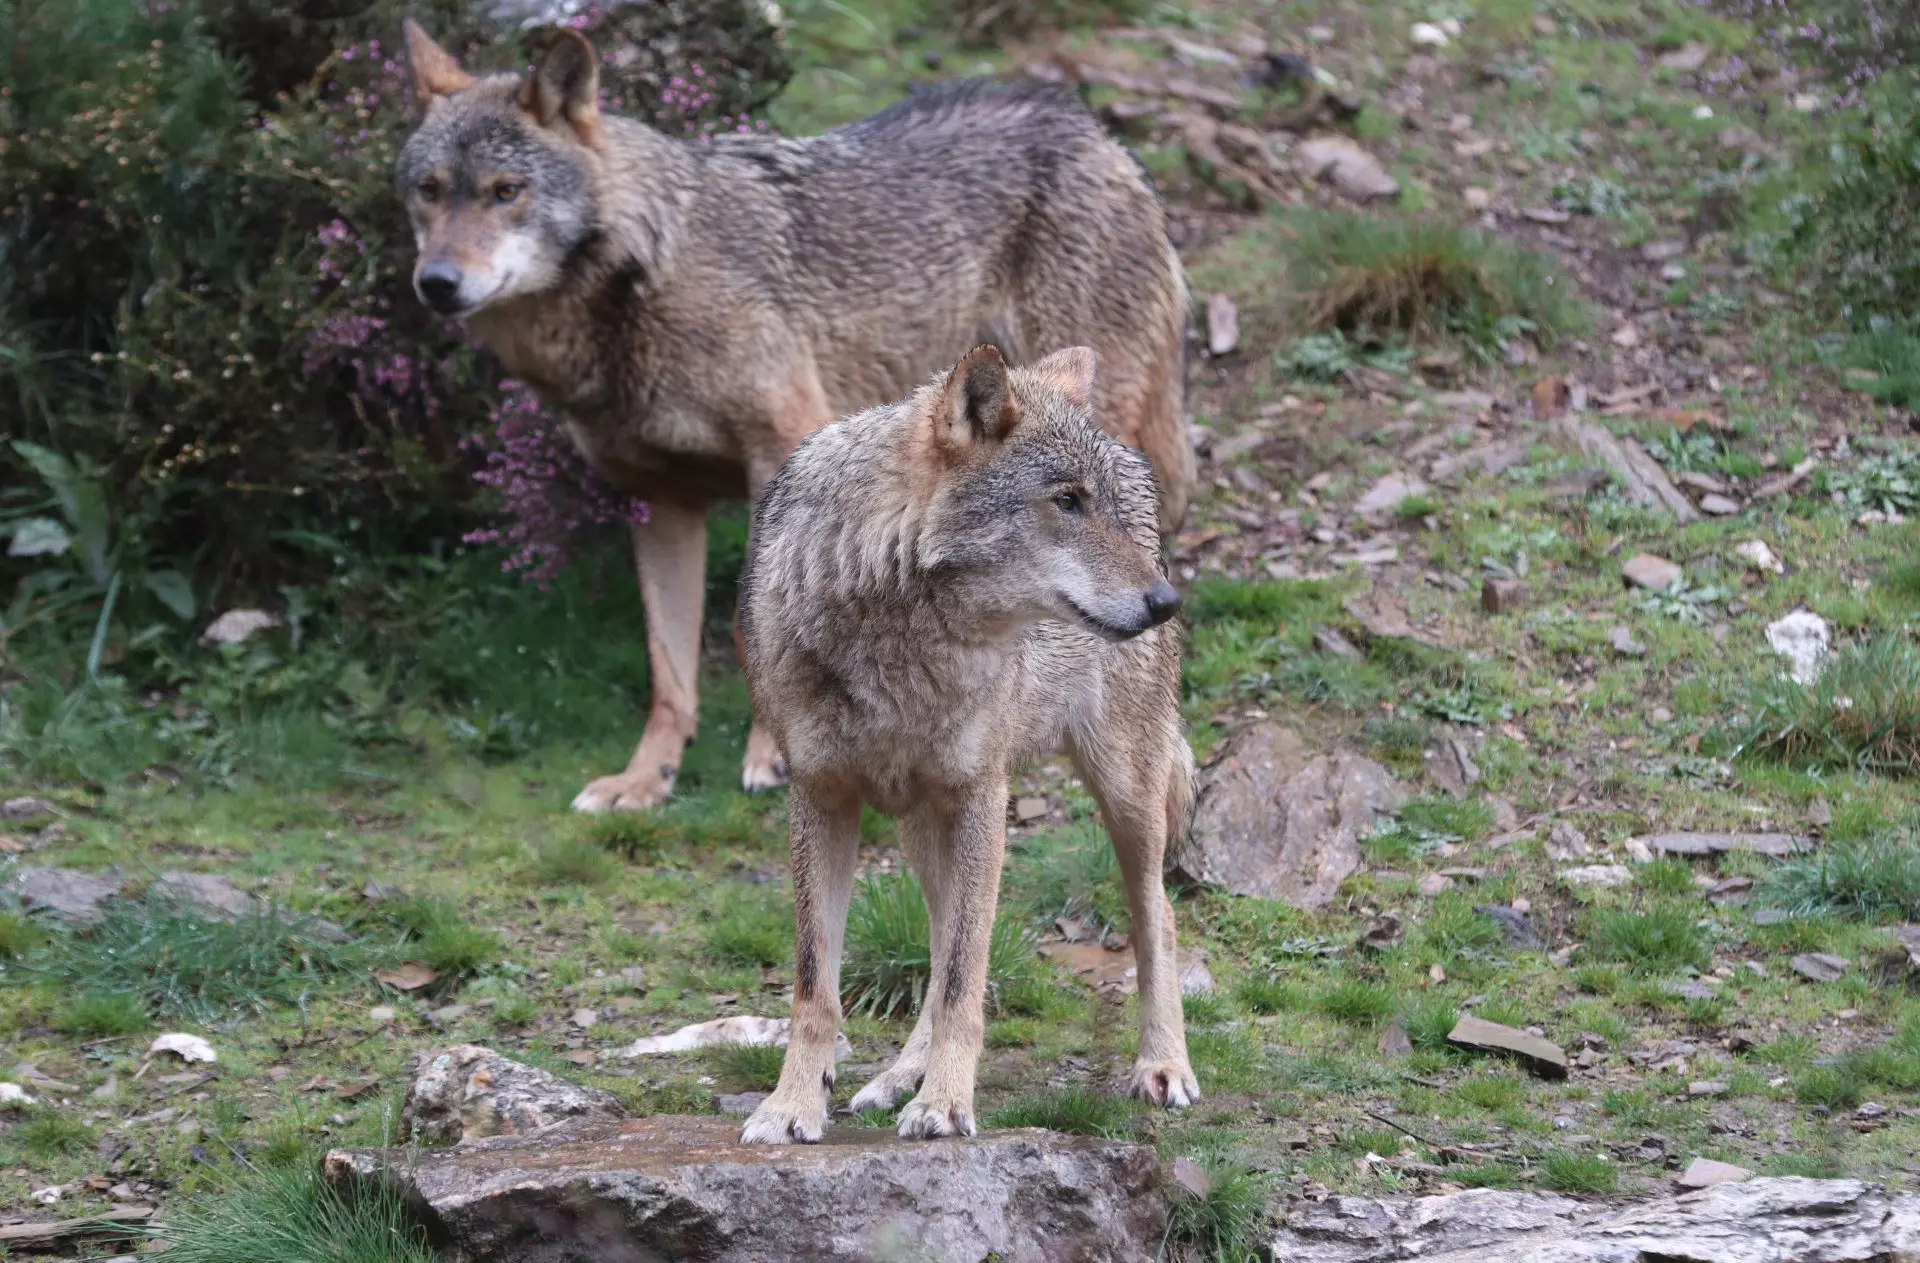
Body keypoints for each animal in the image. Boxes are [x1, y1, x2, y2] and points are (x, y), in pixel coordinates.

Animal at [396, 21, 1195, 814]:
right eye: (428, 192)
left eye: (506, 192)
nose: (436, 283)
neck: (644, 278)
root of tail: (1096, 132)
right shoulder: (659, 501)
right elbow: (668, 666)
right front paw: (646, 777)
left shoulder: (777, 450)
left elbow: (749, 624)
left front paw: (772, 754)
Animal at [736, 344, 1198, 1143]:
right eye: (1068, 501)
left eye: (1096, 503)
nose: (1168, 602)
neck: (896, 640)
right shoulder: (820, 796)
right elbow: (816, 983)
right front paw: (792, 1105)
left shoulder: (983, 794)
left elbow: (963, 978)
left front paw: (947, 1104)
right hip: (925, 825)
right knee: (939, 933)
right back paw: (898, 1077)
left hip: (1124, 793)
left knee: (1156, 916)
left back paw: (1163, 1064)